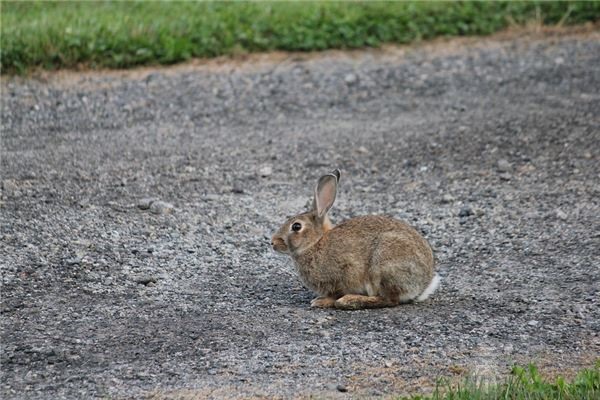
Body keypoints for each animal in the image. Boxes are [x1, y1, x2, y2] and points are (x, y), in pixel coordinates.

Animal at [270, 169, 438, 310]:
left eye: (296, 226)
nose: (273, 242)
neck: (315, 243)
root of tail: (423, 285)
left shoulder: (343, 273)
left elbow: (335, 293)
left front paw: (321, 301)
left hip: (383, 264)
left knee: (389, 300)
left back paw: (349, 301)